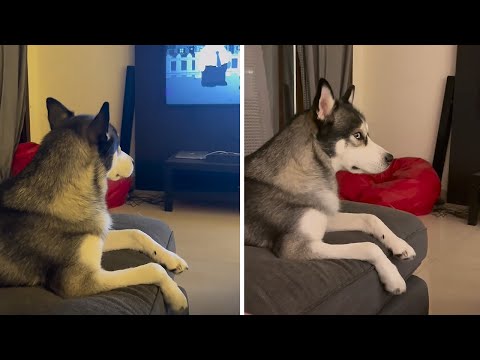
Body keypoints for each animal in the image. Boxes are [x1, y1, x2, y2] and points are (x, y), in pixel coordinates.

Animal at [0, 98, 188, 312]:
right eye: (117, 147)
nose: (133, 161)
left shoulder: (97, 236)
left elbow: (136, 233)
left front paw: (171, 258)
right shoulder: (78, 282)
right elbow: (151, 268)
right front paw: (175, 295)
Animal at [246, 77, 414, 294]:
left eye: (366, 134)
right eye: (358, 136)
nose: (391, 158)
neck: (309, 169)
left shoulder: (325, 217)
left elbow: (370, 217)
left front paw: (399, 244)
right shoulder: (295, 247)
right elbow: (368, 246)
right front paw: (393, 277)